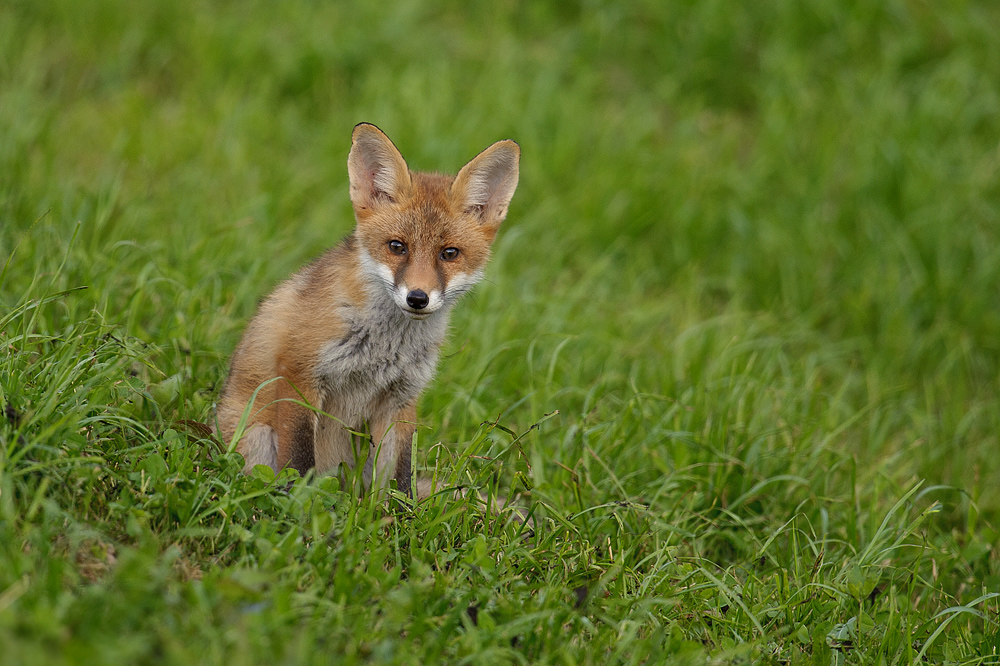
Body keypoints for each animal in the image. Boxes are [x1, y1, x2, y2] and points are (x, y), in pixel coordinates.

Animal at [215, 122, 520, 496]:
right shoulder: (299, 375)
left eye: (449, 253)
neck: (386, 346)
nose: (417, 298)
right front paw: (298, 504)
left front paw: (403, 511)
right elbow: (299, 462)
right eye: (397, 247)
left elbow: (400, 477)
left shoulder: (402, 397)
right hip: (256, 436)